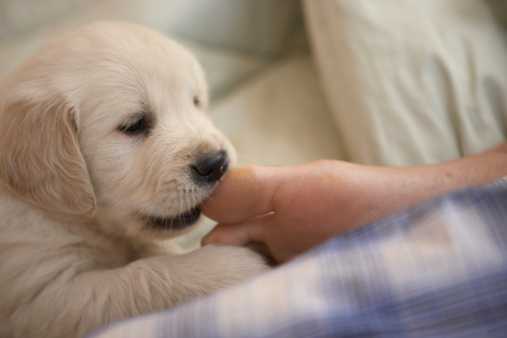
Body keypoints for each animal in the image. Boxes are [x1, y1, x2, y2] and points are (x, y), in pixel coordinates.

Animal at [0, 21, 268, 338]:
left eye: (195, 101)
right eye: (134, 125)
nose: (216, 163)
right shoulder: (43, 297)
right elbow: (143, 278)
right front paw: (231, 268)